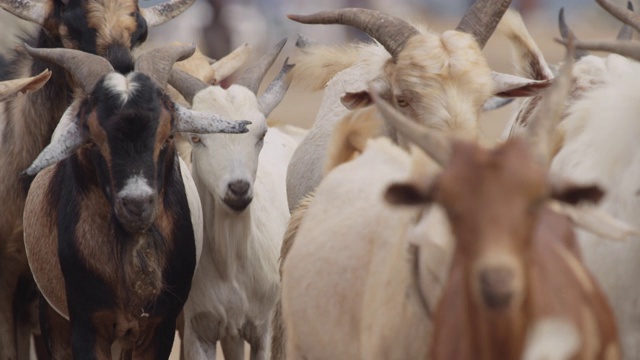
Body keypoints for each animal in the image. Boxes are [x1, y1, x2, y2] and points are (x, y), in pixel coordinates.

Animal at [169, 39, 302, 360]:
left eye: (261, 134)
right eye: (196, 137)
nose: (238, 189)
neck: (231, 265)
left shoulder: (264, 329)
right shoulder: (199, 329)